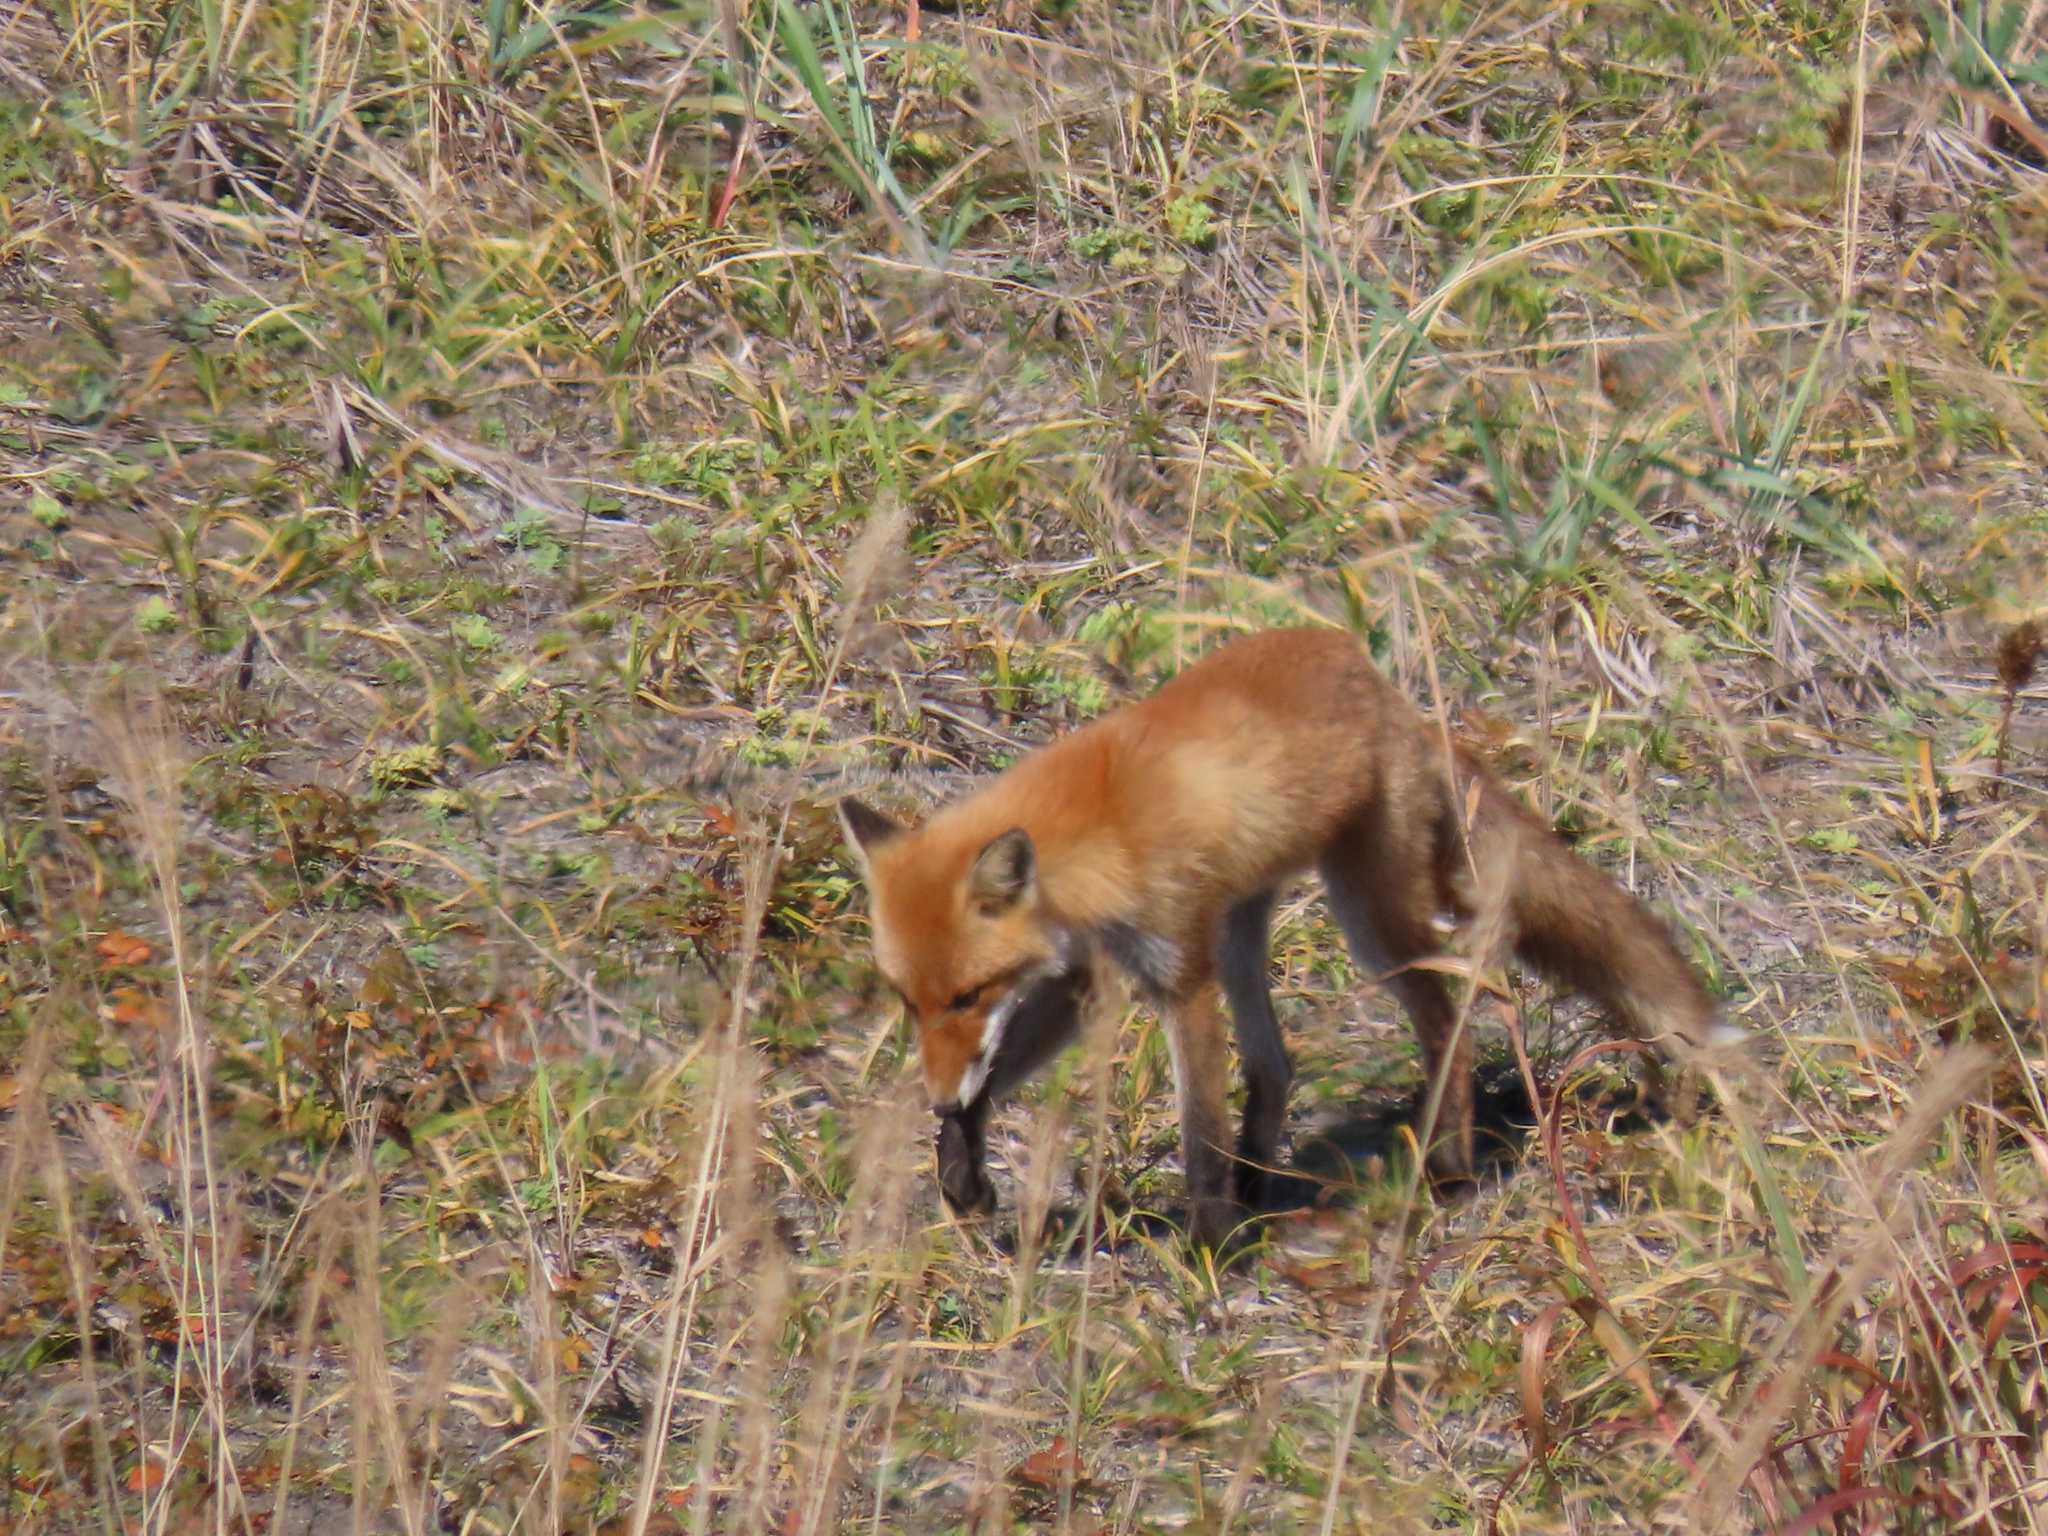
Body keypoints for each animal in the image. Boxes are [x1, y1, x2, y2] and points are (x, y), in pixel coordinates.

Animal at [839, 626, 1736, 1253]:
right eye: (908, 1001)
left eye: (969, 993)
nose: (933, 1097)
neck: (1101, 834)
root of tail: (1393, 696)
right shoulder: (1082, 978)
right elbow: (997, 1075)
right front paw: (960, 1168)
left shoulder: (1179, 972)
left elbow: (1197, 1129)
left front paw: (1209, 1251)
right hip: (1246, 929)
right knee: (1276, 1062)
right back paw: (1262, 1177)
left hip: (1369, 921)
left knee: (1449, 1018)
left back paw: (1445, 1166)